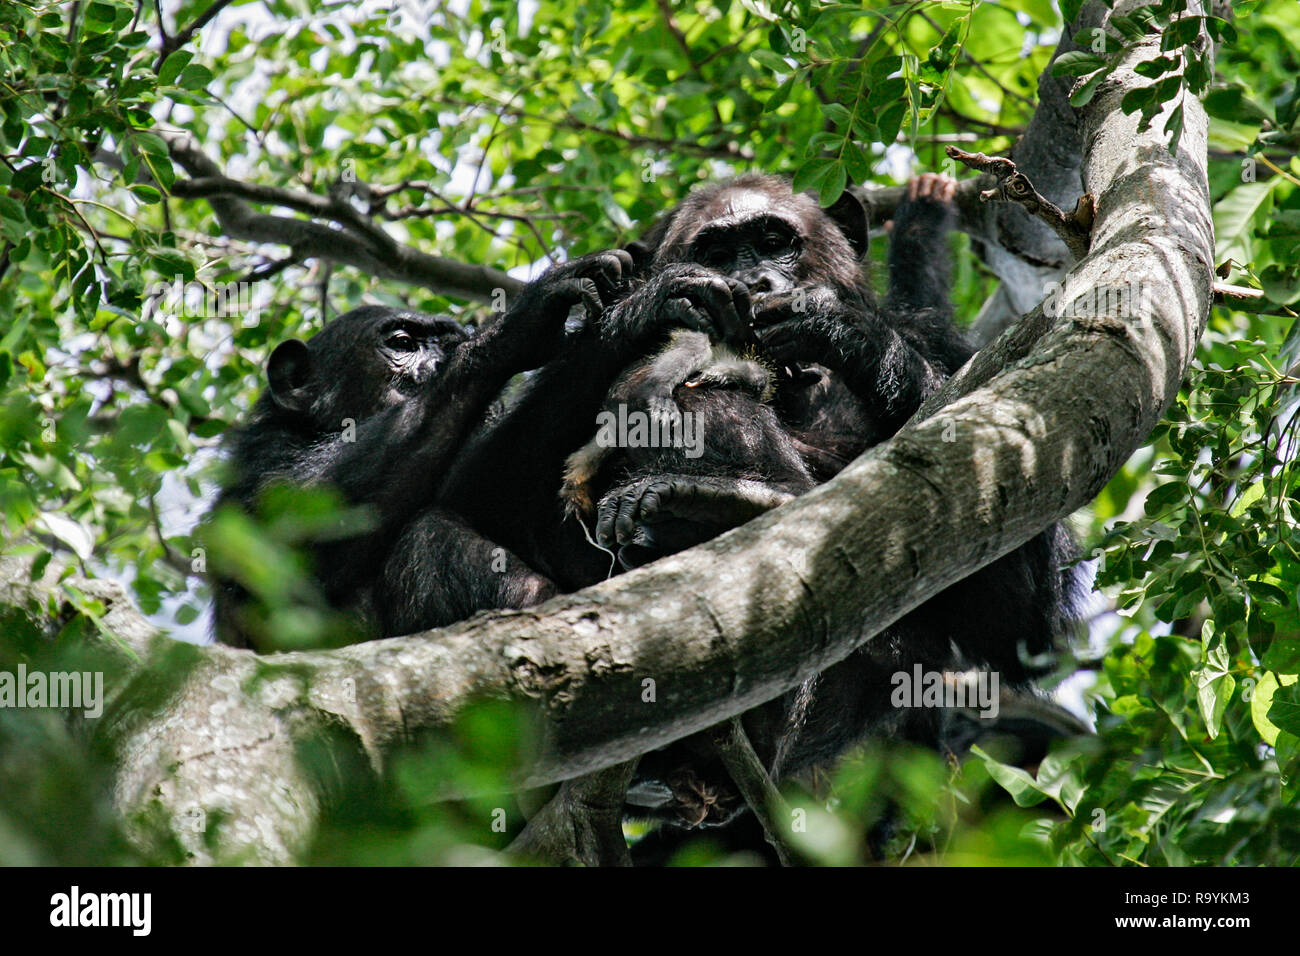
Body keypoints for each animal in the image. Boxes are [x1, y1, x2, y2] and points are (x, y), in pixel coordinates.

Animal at [210, 251, 631, 655]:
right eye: (402, 344)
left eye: (447, 344)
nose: (440, 362)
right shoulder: (261, 466)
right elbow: (301, 541)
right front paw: (524, 321)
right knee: (427, 533)